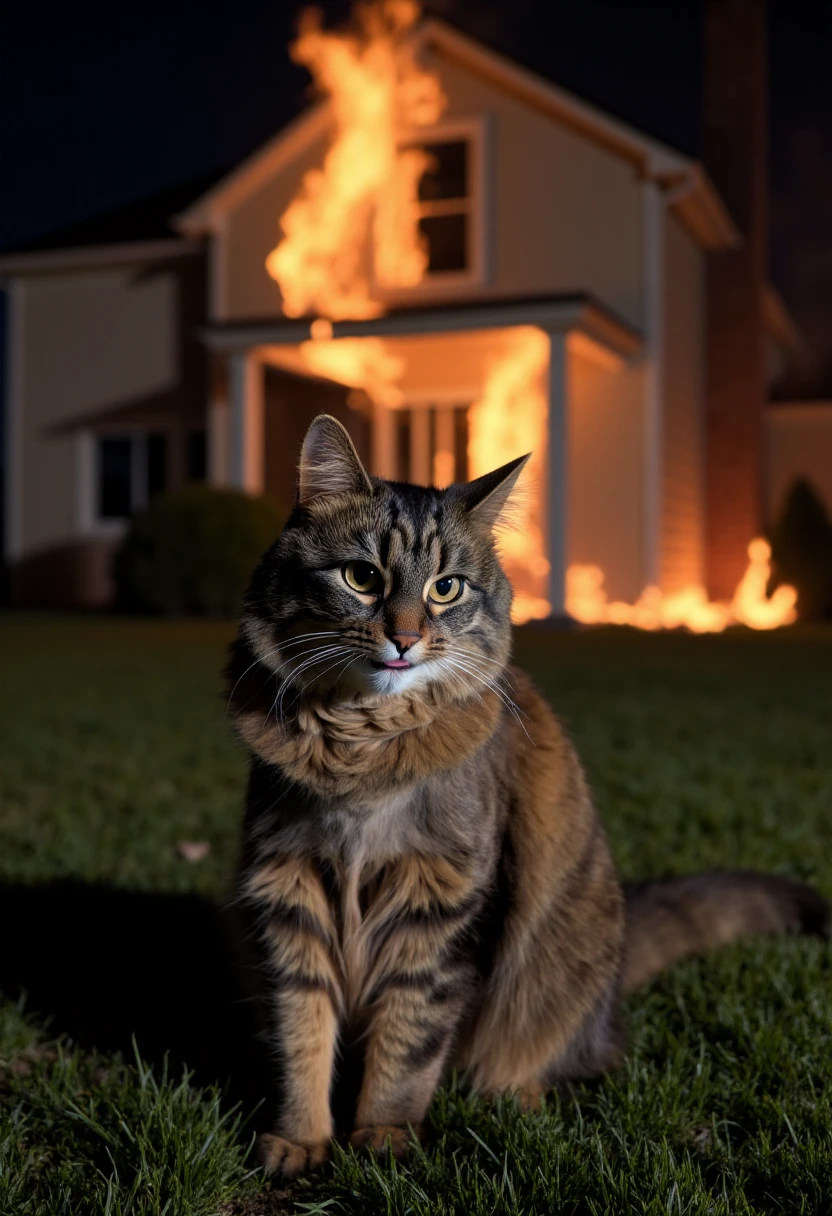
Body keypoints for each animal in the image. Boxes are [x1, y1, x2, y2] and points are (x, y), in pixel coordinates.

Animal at [223, 415, 827, 1177]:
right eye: (362, 577)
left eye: (446, 588)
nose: (405, 637)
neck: (362, 750)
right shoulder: (287, 891)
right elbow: (299, 1036)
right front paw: (300, 1140)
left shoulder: (441, 905)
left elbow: (406, 1048)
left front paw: (383, 1138)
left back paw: (517, 1099)